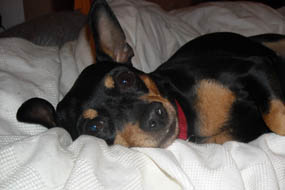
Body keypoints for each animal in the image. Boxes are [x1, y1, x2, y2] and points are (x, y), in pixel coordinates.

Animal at [16, 0, 284, 147]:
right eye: (94, 127)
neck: (189, 116)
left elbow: (275, 117)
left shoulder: (254, 67)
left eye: (125, 79)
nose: (154, 115)